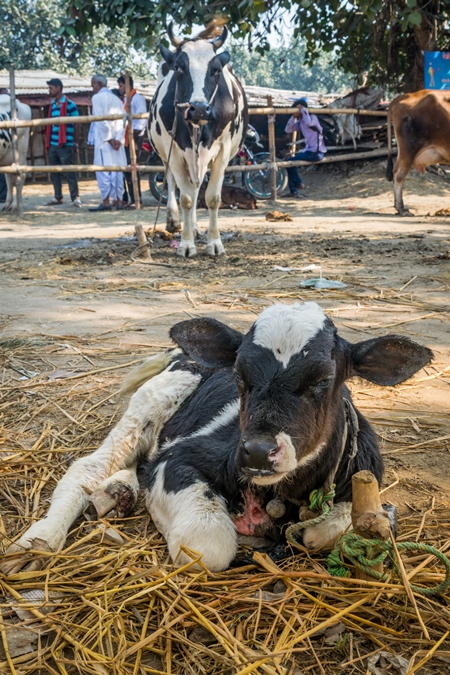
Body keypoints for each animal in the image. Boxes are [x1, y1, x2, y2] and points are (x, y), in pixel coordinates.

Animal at [0, 304, 432, 572]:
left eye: (324, 380)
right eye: (239, 375)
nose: (257, 452)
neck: (286, 493)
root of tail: (183, 353)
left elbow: (335, 527)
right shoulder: (179, 457)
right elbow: (208, 546)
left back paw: (119, 491)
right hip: (150, 404)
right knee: (91, 467)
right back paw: (41, 538)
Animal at [149, 25, 248, 258]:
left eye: (216, 70)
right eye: (178, 67)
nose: (200, 109)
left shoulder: (223, 150)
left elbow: (212, 197)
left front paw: (214, 243)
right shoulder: (174, 150)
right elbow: (185, 198)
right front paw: (186, 244)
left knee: (196, 188)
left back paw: (194, 228)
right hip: (170, 155)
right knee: (176, 185)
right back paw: (177, 222)